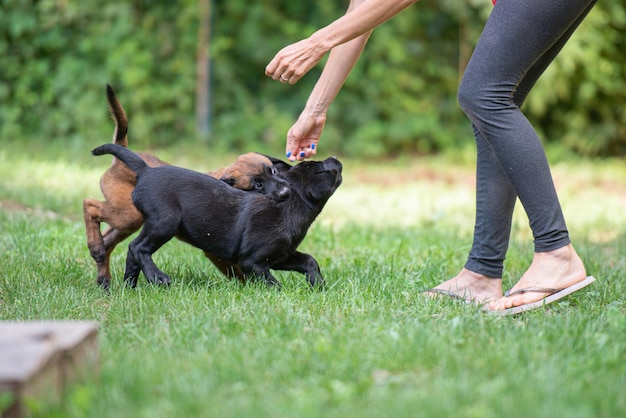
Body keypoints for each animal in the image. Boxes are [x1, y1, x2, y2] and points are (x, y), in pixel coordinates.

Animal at [82, 85, 288, 288]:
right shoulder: (217, 251)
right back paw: (99, 251)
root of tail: (123, 155)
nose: (286, 192)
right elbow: (238, 270)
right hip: (128, 215)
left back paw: (103, 275)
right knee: (90, 205)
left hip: (130, 221)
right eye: (258, 185)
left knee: (108, 242)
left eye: (274, 171)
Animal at [91, 144, 342, 288]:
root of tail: (146, 171)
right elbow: (271, 283)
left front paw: (318, 284)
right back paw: (157, 277)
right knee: (137, 247)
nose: (335, 158)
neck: (292, 204)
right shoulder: (252, 261)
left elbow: (309, 260)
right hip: (165, 222)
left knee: (132, 253)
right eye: (320, 168)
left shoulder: (281, 255)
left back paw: (129, 287)